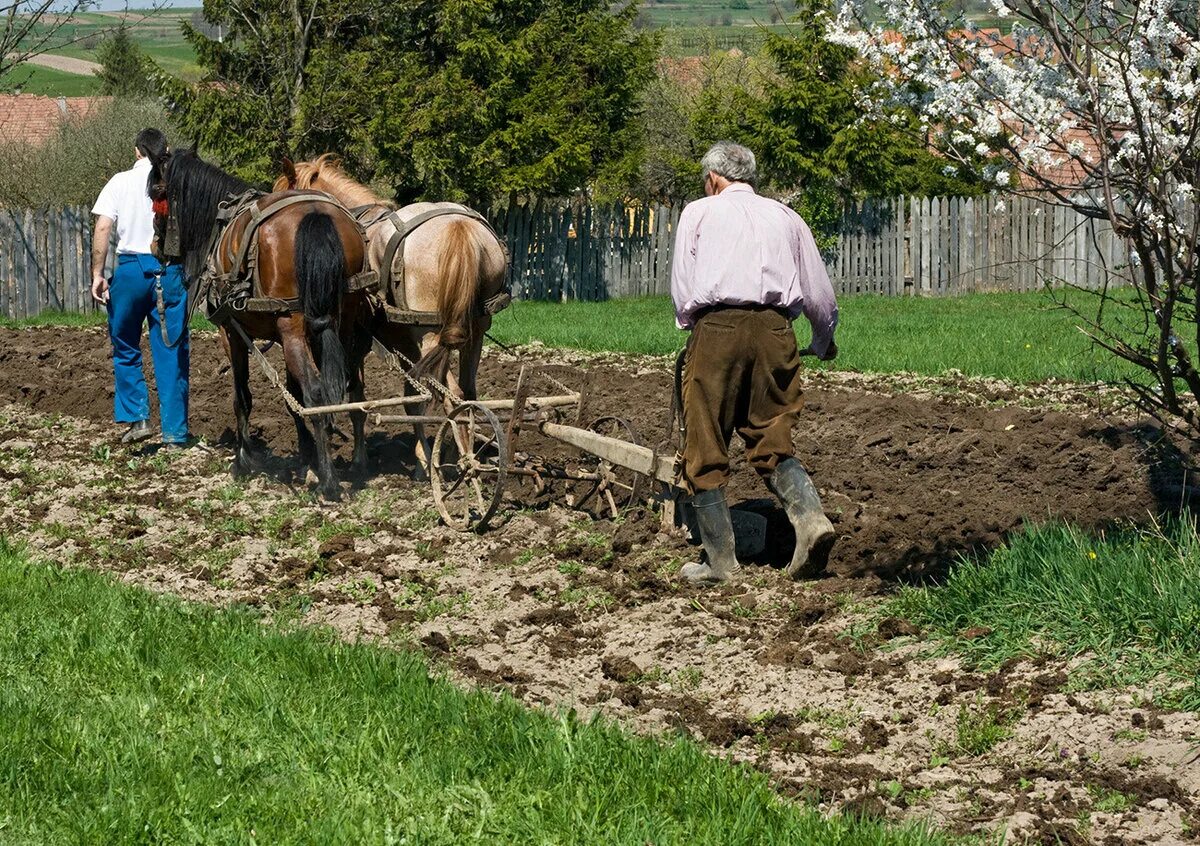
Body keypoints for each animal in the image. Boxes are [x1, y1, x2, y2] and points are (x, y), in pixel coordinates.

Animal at [157, 149, 367, 499]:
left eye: (155, 193)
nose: (155, 246)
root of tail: (315, 212)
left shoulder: (231, 333)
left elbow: (242, 396)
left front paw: (243, 461)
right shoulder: (288, 336)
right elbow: (292, 396)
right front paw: (305, 455)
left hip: (291, 326)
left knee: (317, 393)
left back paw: (329, 482)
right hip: (343, 319)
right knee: (351, 388)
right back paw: (350, 465)